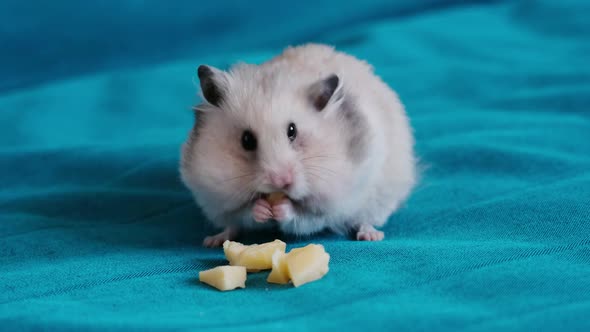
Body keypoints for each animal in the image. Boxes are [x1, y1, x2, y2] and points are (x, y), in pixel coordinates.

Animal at [180, 43, 416, 246]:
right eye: (246, 140)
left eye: (292, 131)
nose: (281, 181)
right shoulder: (216, 195)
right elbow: (245, 211)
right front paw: (262, 209)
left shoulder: (332, 202)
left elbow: (304, 215)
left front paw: (282, 208)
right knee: (232, 226)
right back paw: (213, 240)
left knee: (364, 219)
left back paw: (371, 236)